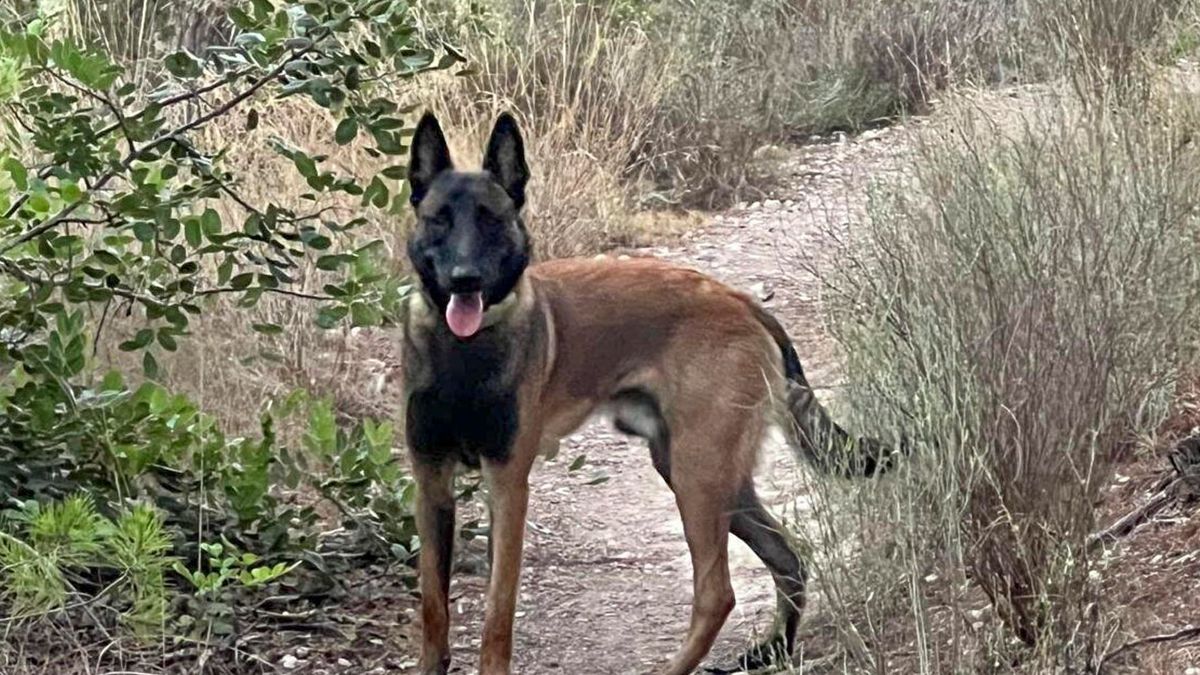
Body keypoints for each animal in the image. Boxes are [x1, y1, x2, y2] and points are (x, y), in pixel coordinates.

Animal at [403, 112, 902, 667]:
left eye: (491, 219)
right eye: (439, 219)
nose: (464, 279)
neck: (462, 356)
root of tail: (743, 301)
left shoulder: (508, 486)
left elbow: (497, 616)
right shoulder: (430, 483)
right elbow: (433, 608)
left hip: (697, 474)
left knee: (718, 591)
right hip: (704, 474)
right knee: (789, 555)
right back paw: (774, 648)